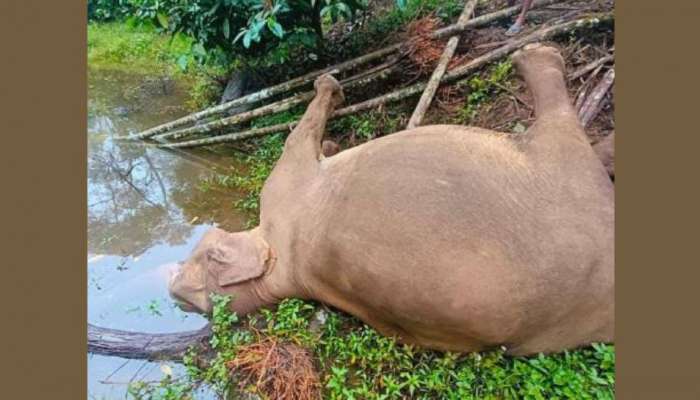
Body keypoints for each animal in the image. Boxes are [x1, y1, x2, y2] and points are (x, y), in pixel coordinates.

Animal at [170, 43, 612, 356]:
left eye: (199, 258)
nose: (172, 283)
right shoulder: (285, 185)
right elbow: (296, 139)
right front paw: (329, 86)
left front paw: (331, 136)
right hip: (561, 168)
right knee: (560, 127)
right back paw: (536, 56)